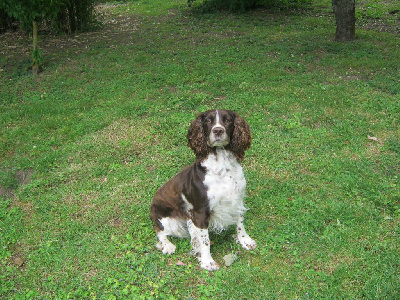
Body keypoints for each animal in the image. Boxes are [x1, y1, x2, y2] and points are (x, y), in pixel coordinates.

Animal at [150, 109, 256, 270]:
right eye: (208, 121)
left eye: (227, 120)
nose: (218, 130)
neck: (223, 167)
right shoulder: (200, 212)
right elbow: (205, 241)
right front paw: (207, 262)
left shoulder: (237, 201)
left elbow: (240, 224)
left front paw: (245, 240)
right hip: (167, 220)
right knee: (160, 231)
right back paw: (168, 245)